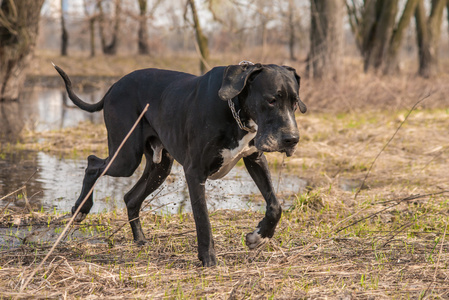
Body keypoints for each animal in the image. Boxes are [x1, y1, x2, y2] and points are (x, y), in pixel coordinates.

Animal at [52, 61, 304, 268]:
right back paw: (80, 210)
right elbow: (203, 219)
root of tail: (113, 86)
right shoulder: (195, 172)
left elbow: (275, 205)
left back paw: (140, 240)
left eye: (294, 103)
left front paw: (258, 237)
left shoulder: (255, 159)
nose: (292, 139)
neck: (234, 109)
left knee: (131, 197)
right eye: (271, 100)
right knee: (93, 164)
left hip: (161, 166)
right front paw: (209, 260)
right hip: (126, 156)